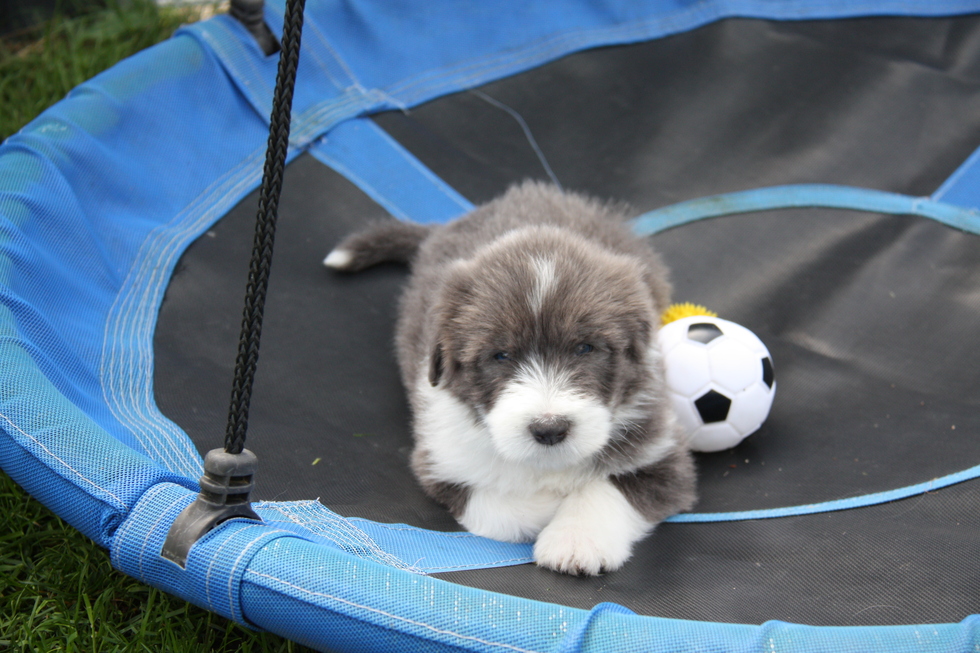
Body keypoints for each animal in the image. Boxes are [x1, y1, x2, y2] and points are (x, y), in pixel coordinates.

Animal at [324, 181, 696, 575]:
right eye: (500, 356)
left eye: (585, 348)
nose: (549, 429)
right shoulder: (440, 463)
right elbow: (504, 507)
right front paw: (549, 505)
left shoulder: (664, 456)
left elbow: (606, 490)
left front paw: (576, 540)